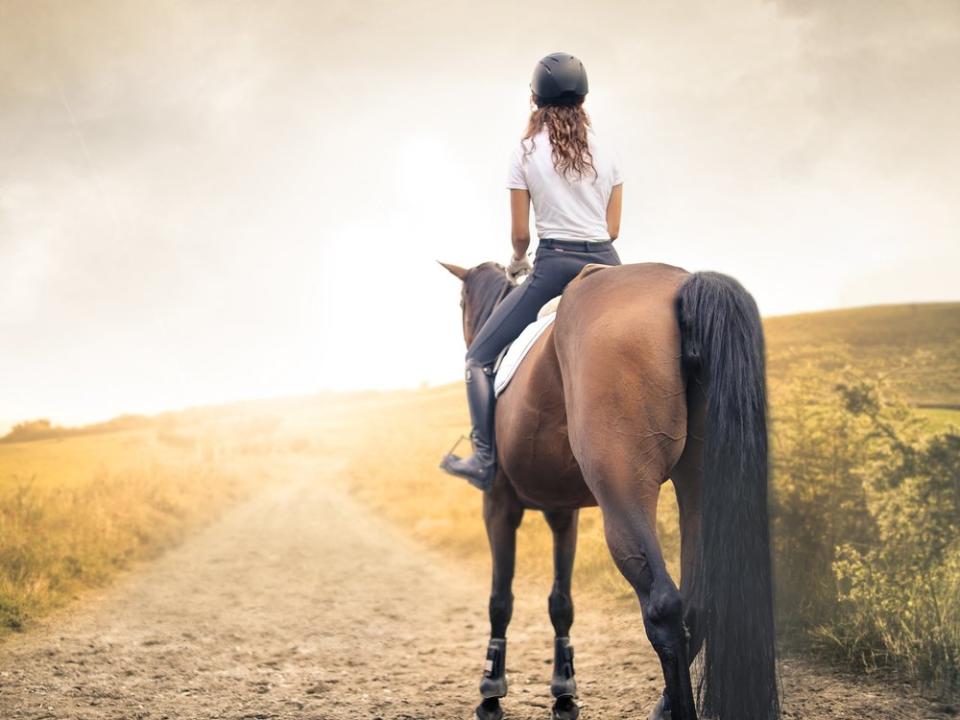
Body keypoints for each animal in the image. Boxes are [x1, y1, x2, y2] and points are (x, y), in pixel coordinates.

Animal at [440, 262, 780, 720]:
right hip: (700, 484)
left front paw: (491, 689)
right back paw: (662, 707)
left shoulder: (498, 505)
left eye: (461, 302)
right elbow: (561, 602)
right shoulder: (563, 512)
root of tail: (683, 284)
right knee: (698, 605)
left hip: (624, 491)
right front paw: (564, 689)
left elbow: (500, 598)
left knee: (664, 607)